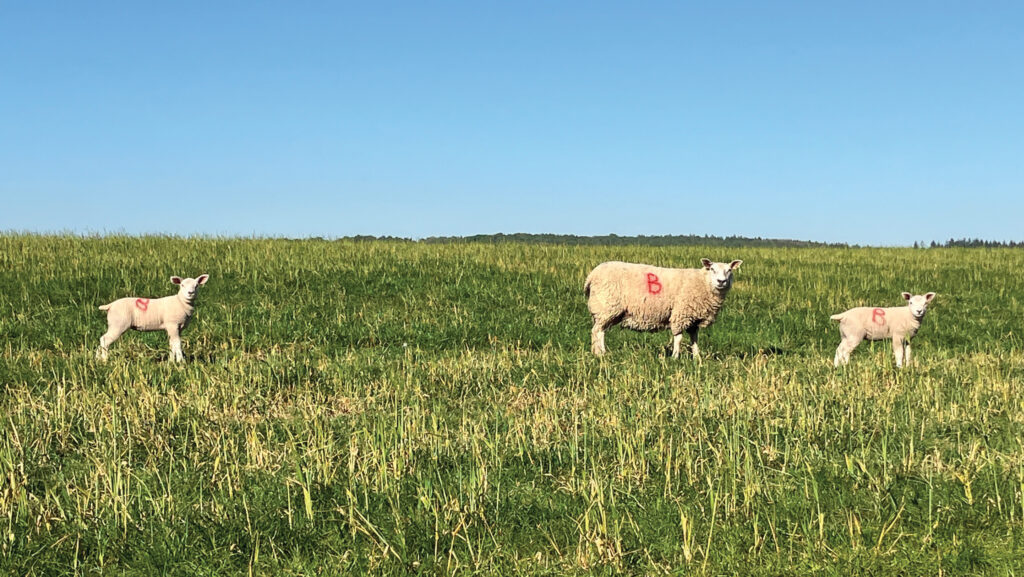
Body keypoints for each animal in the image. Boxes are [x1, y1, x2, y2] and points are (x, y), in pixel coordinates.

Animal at [584, 258, 742, 359]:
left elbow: (694, 339)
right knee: (597, 331)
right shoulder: (681, 314)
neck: (703, 282)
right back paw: (600, 353)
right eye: (712, 269)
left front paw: (697, 358)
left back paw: (599, 352)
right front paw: (675, 357)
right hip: (606, 305)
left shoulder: (694, 319)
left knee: (600, 331)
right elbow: (678, 338)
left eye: (729, 270)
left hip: (608, 311)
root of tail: (591, 275)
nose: (721, 281)